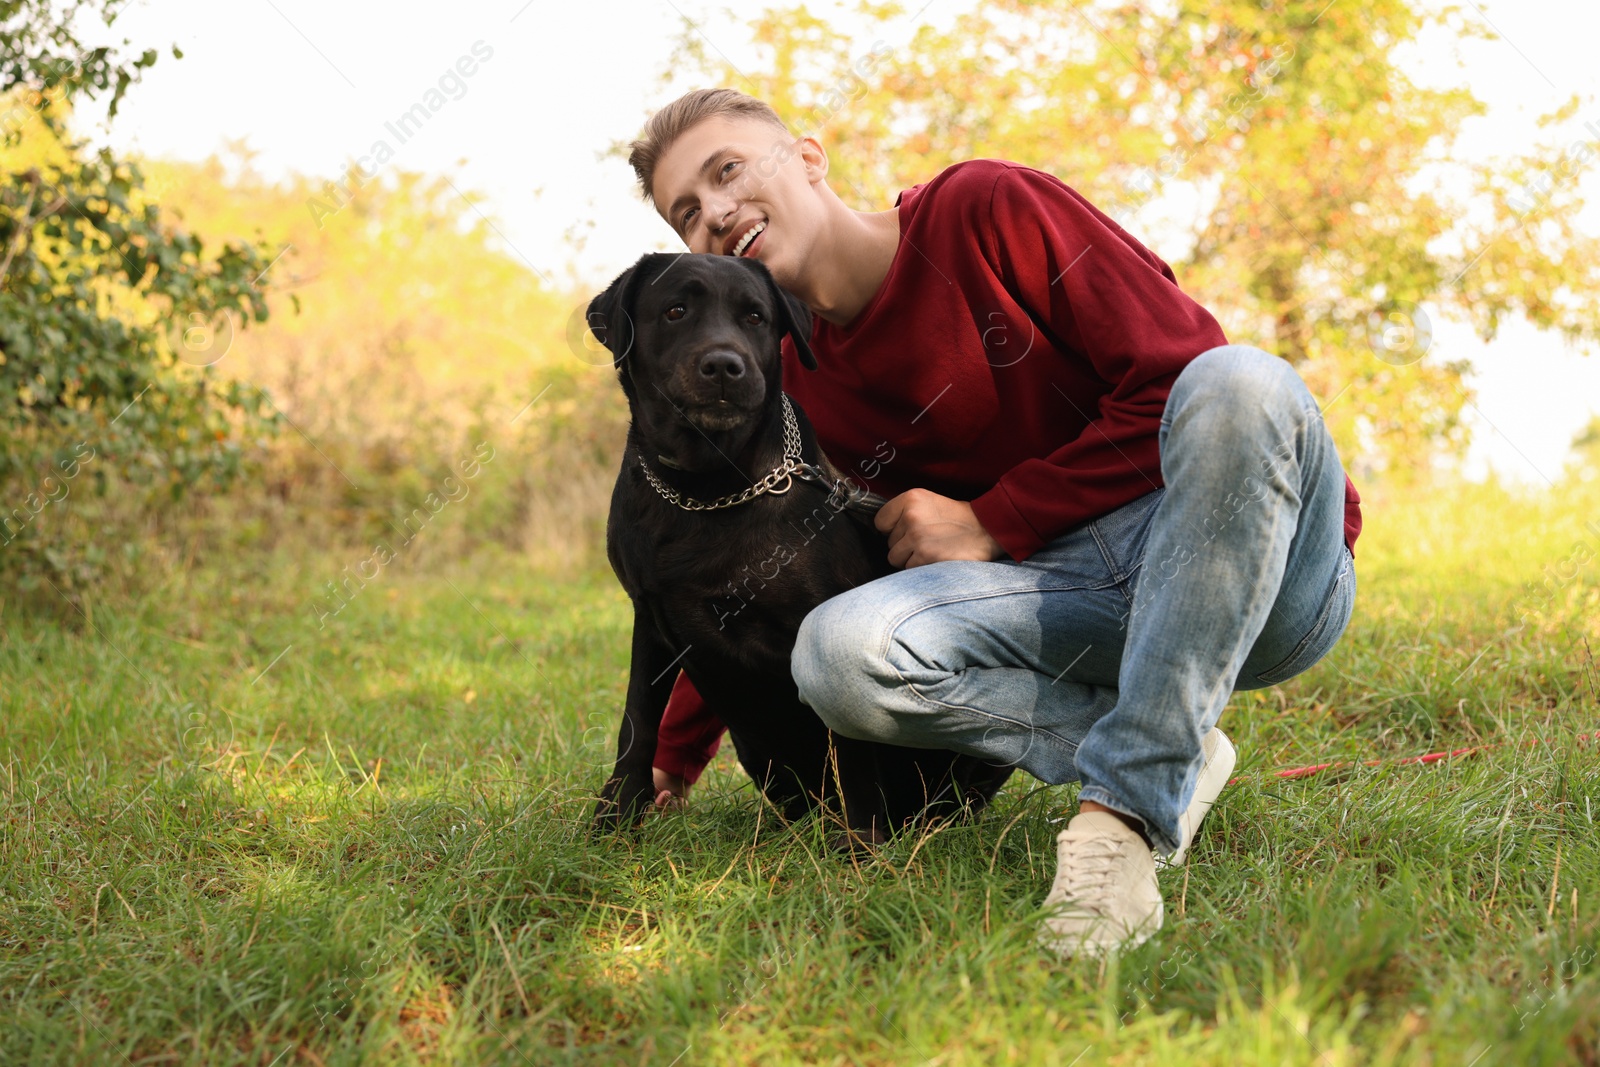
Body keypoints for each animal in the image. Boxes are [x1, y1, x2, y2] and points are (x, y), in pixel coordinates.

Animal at [588, 252, 1011, 844]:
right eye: (675, 311)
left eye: (755, 317)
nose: (725, 365)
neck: (710, 490)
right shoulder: (649, 618)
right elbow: (639, 720)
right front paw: (616, 819)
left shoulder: (816, 626)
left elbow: (852, 749)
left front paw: (861, 847)